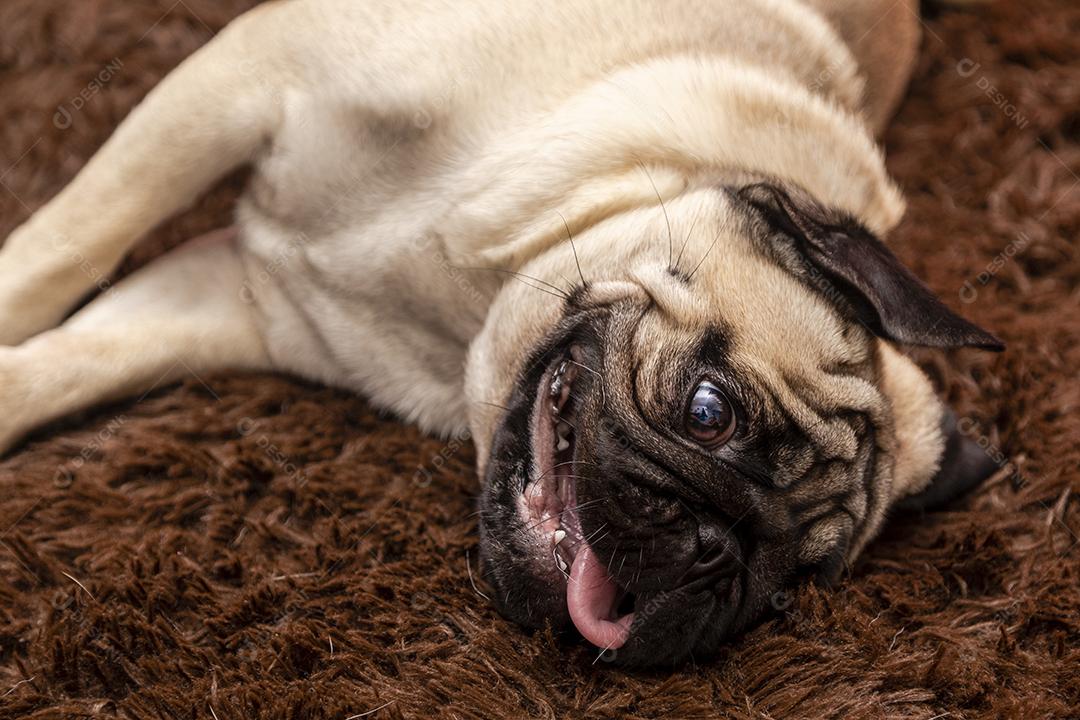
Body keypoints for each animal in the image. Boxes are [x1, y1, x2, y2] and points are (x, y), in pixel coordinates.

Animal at [0, 0, 997, 669]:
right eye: (710, 413)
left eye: (788, 585)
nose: (715, 548)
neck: (464, 305)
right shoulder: (236, 84)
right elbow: (62, 249)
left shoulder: (236, 297)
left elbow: (71, 360)